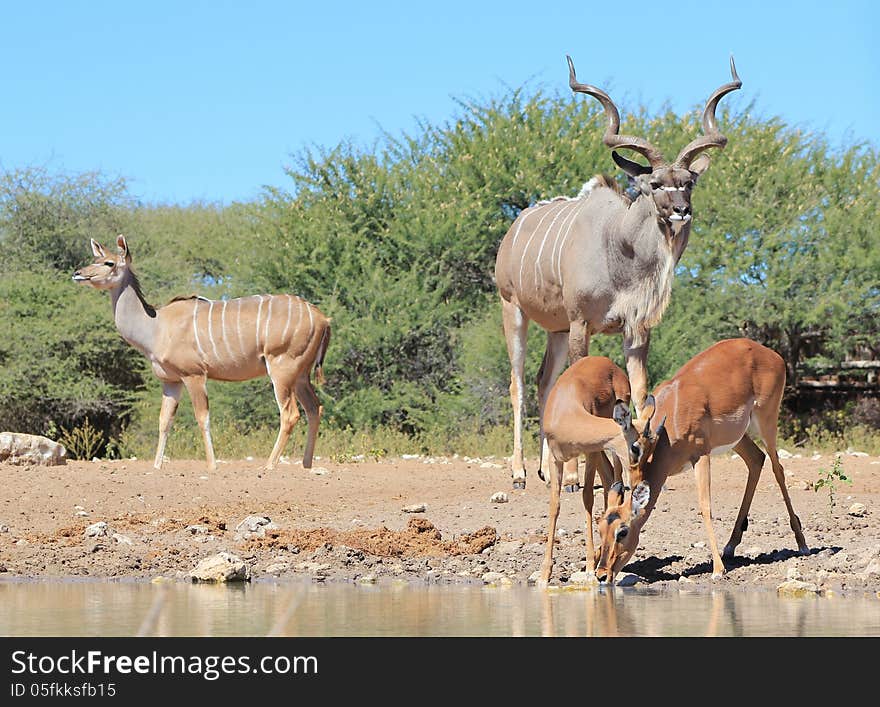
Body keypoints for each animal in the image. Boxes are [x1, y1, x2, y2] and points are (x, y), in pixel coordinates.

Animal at [73, 235, 330, 472]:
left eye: (109, 263)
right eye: (95, 258)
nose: (78, 273)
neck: (156, 326)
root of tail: (323, 318)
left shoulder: (194, 375)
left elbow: (202, 417)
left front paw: (212, 466)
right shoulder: (171, 381)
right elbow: (164, 421)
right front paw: (156, 466)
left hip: (282, 369)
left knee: (290, 413)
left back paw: (268, 466)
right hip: (301, 375)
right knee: (314, 408)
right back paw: (306, 465)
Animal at [496, 55, 744, 490]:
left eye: (689, 183)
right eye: (656, 184)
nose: (681, 210)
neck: (620, 252)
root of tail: (511, 233)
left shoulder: (635, 329)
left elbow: (640, 392)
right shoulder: (581, 324)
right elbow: (576, 384)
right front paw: (576, 475)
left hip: (556, 329)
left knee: (544, 381)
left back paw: (546, 467)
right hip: (515, 310)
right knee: (519, 383)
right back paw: (521, 473)